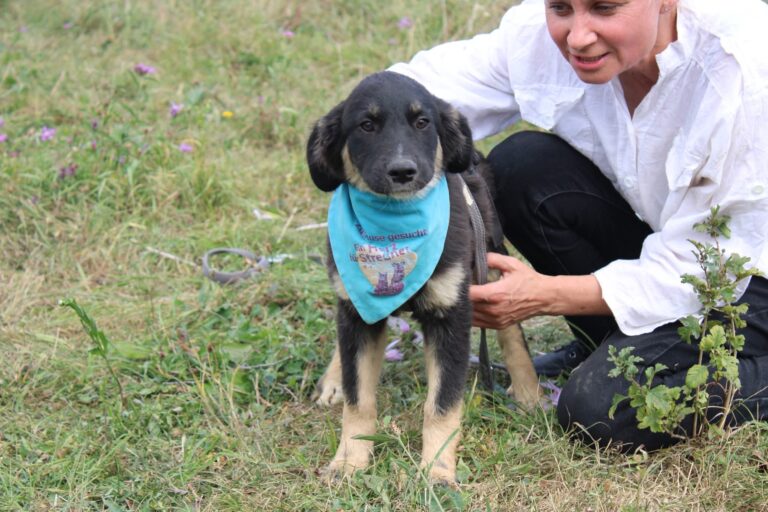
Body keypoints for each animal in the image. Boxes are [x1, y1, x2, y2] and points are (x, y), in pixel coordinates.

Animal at [306, 71, 542, 485]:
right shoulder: (356, 314)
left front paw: (437, 472)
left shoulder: (452, 315)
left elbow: (441, 405)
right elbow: (358, 398)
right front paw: (349, 462)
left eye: (422, 122)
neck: (393, 228)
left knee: (512, 328)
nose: (402, 172)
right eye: (366, 125)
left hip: (492, 248)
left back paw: (529, 390)